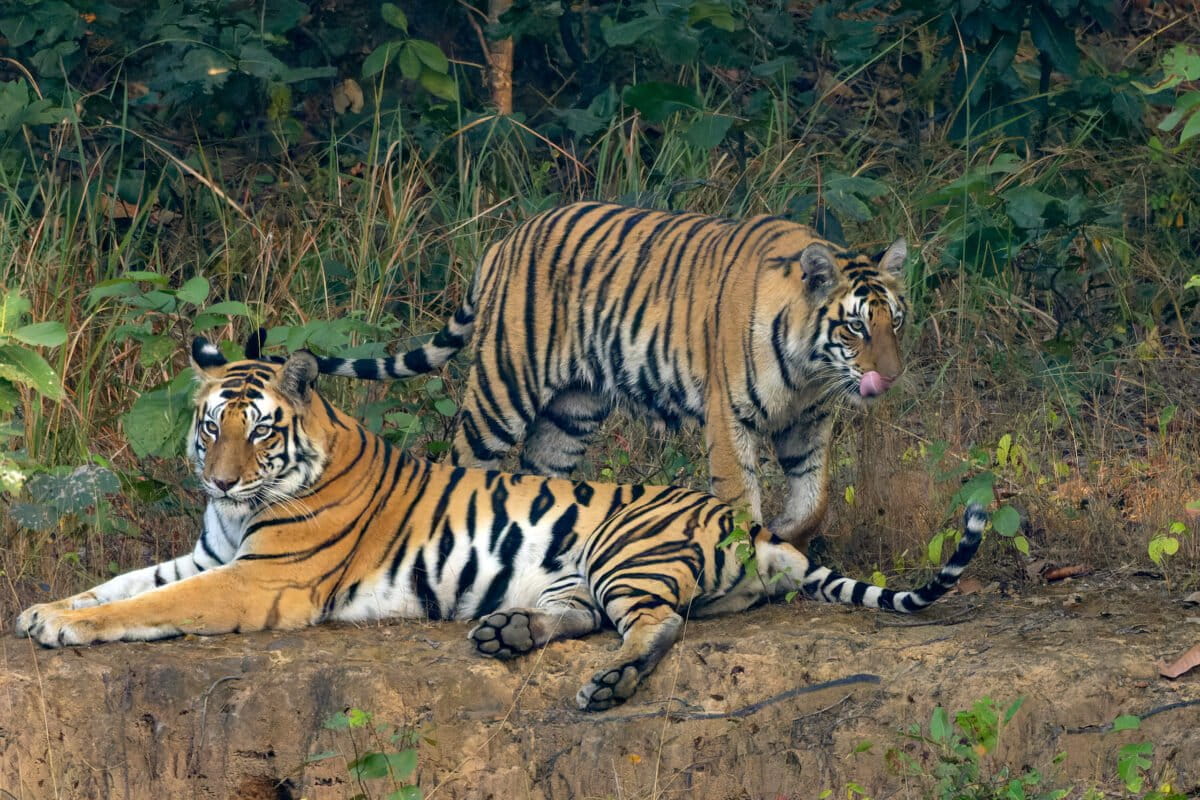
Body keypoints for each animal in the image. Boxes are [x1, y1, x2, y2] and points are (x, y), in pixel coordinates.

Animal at [15, 335, 981, 712]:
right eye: (211, 425)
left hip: (629, 552)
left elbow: (142, 607)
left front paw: (63, 627)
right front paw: (44, 609)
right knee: (582, 616)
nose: (218, 478)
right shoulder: (206, 553)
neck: (236, 509)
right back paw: (506, 632)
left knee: (658, 627)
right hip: (580, 573)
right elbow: (122, 583)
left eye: (258, 433)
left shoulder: (260, 578)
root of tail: (757, 528)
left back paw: (608, 685)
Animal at [310, 201, 909, 547]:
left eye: (895, 321)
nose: (891, 377)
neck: (812, 370)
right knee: (464, 461)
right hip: (504, 387)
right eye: (856, 327)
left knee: (540, 474)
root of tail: (507, 239)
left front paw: (787, 534)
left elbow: (815, 499)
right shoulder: (728, 417)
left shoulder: (808, 422)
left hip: (571, 410)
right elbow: (739, 495)